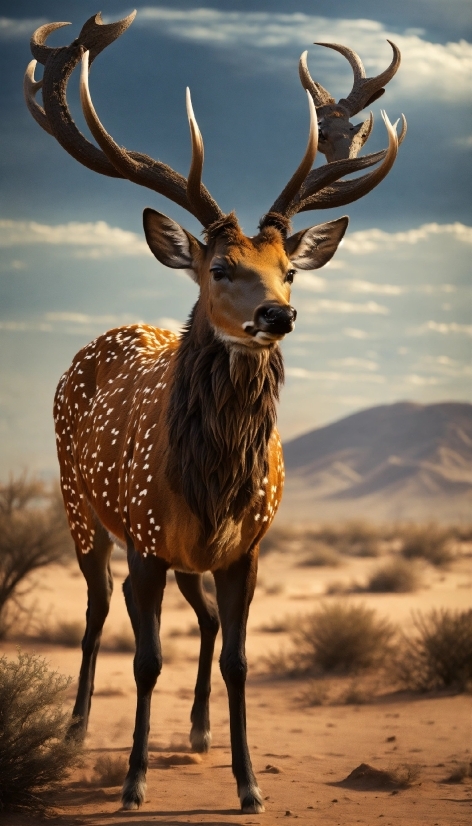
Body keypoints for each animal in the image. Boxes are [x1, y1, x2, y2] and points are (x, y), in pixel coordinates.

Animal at [23, 12, 406, 812]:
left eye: (290, 269)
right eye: (221, 267)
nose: (278, 315)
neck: (211, 480)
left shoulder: (246, 545)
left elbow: (238, 660)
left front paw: (249, 783)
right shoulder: (143, 535)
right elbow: (144, 660)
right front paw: (133, 782)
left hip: (184, 556)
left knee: (194, 619)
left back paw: (197, 731)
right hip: (79, 502)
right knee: (96, 606)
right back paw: (74, 730)